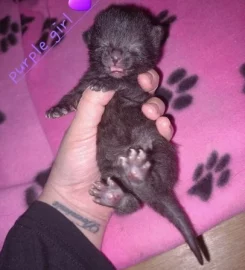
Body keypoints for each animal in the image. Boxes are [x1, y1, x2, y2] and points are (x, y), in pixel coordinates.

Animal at [46, 5, 203, 264]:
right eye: (104, 46)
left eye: (133, 48)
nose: (116, 56)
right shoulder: (83, 84)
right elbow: (74, 94)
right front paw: (58, 108)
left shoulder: (139, 89)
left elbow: (125, 84)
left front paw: (107, 82)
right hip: (108, 169)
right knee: (133, 203)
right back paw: (115, 195)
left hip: (160, 147)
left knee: (155, 183)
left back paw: (139, 174)